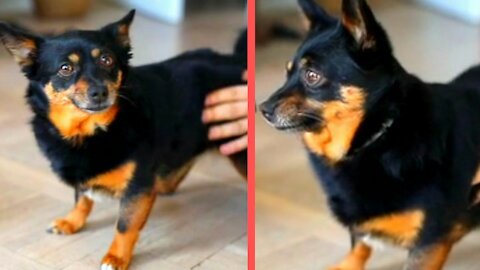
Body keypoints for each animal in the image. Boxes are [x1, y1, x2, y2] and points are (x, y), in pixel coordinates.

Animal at [0, 9, 246, 268]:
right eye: (65, 68)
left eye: (107, 60)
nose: (100, 92)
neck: (90, 132)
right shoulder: (83, 173)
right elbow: (81, 199)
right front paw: (72, 221)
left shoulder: (137, 187)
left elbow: (125, 225)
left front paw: (116, 257)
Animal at [260, 0, 480, 268]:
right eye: (287, 73)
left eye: (312, 76)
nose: (263, 109)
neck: (378, 136)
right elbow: (359, 245)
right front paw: (348, 265)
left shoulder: (430, 241)